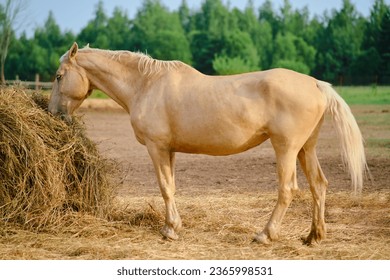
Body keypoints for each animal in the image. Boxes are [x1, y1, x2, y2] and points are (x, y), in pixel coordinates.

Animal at [48, 42, 366, 244]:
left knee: (287, 190)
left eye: (59, 76)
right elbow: (171, 187)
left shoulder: (156, 147)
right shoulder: (169, 150)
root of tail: (316, 84)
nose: (54, 114)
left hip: (286, 148)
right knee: (318, 186)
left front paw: (170, 230)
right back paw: (314, 236)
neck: (146, 85)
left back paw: (265, 235)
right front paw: (173, 225)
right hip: (305, 149)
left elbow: (165, 187)